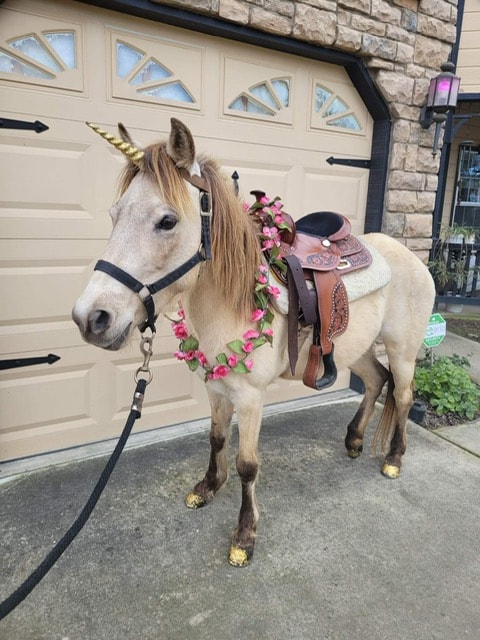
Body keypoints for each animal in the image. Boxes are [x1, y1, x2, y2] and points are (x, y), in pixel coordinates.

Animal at [72, 118, 435, 567]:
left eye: (167, 221)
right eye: (114, 214)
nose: (91, 318)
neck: (237, 296)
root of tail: (409, 254)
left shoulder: (249, 397)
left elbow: (248, 465)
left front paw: (245, 535)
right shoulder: (215, 386)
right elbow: (215, 439)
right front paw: (208, 488)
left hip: (403, 352)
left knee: (401, 394)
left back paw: (393, 459)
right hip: (358, 349)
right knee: (374, 380)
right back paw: (353, 440)